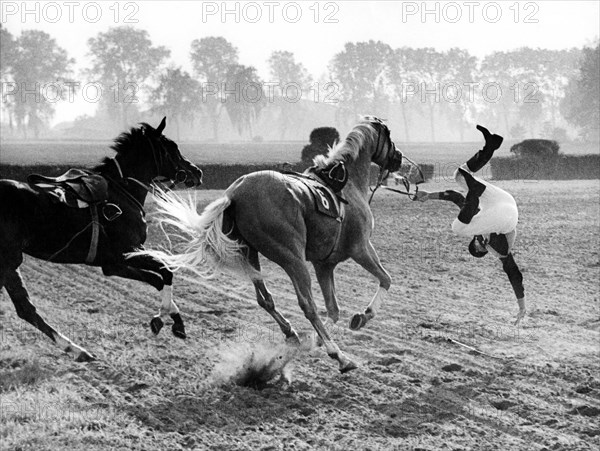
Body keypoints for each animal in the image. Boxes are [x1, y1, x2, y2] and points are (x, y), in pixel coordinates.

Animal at [0, 118, 204, 362]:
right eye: (172, 148)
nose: (197, 172)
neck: (122, 192)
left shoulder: (113, 264)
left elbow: (156, 279)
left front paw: (175, 321)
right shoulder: (127, 253)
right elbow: (165, 271)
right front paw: (162, 318)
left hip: (9, 263)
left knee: (25, 309)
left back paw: (77, 350)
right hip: (9, 260)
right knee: (26, 308)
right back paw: (77, 350)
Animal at [139, 117, 404, 374]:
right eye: (389, 136)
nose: (399, 157)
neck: (344, 187)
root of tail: (235, 194)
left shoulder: (324, 265)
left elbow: (334, 309)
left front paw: (317, 339)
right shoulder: (361, 249)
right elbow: (385, 279)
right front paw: (362, 316)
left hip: (250, 254)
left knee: (265, 299)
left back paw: (292, 334)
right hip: (292, 258)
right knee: (307, 305)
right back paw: (340, 356)